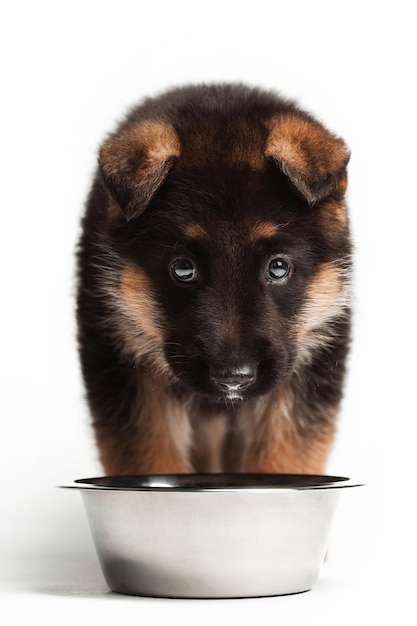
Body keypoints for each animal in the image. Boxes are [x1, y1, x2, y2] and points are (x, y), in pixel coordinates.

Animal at [76, 83, 350, 472]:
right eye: (183, 268)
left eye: (278, 267)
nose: (234, 377)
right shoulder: (131, 377)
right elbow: (154, 460)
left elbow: (283, 461)